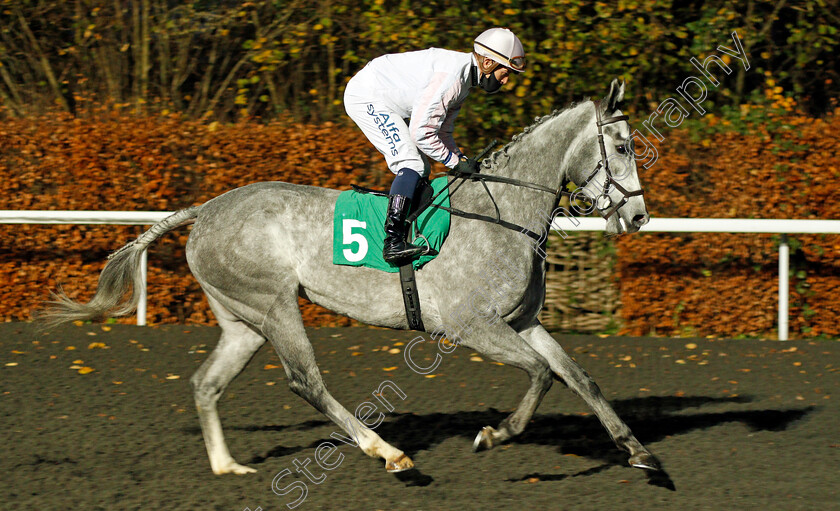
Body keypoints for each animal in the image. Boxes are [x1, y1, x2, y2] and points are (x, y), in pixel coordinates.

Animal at [39, 79, 660, 476]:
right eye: (623, 144)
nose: (637, 216)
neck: (502, 213)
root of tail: (206, 209)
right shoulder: (473, 326)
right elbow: (540, 375)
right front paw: (494, 434)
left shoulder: (522, 322)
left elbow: (579, 377)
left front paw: (640, 452)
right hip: (274, 305)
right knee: (305, 382)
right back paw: (387, 452)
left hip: (243, 319)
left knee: (206, 384)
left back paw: (227, 466)